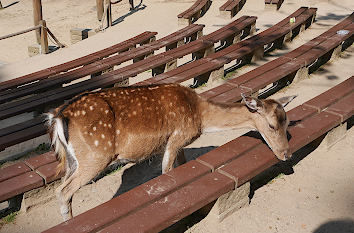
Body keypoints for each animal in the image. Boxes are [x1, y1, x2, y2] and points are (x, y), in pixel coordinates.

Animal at [47, 83, 296, 220]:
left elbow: (182, 166)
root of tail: (58, 117)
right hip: (96, 156)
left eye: (287, 123)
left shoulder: (181, 144)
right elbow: (166, 173)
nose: (287, 154)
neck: (200, 118)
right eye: (272, 125)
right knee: (62, 191)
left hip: (73, 160)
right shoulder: (175, 138)